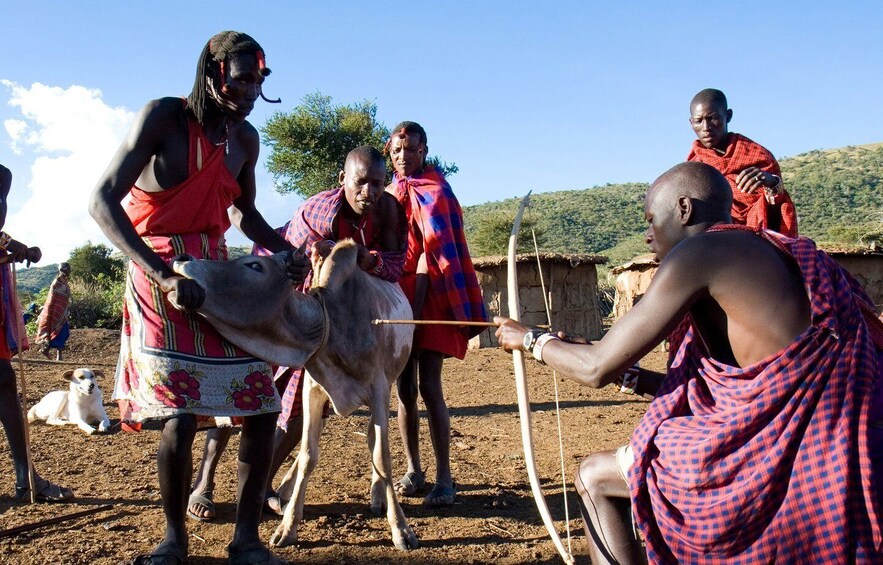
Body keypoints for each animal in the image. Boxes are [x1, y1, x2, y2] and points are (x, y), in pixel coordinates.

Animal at [175, 240, 422, 548]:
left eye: (255, 265)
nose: (183, 259)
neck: (332, 321)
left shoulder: (378, 391)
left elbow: (382, 456)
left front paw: (400, 528)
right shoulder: (312, 391)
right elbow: (307, 456)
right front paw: (288, 525)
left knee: (372, 440)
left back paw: (377, 497)